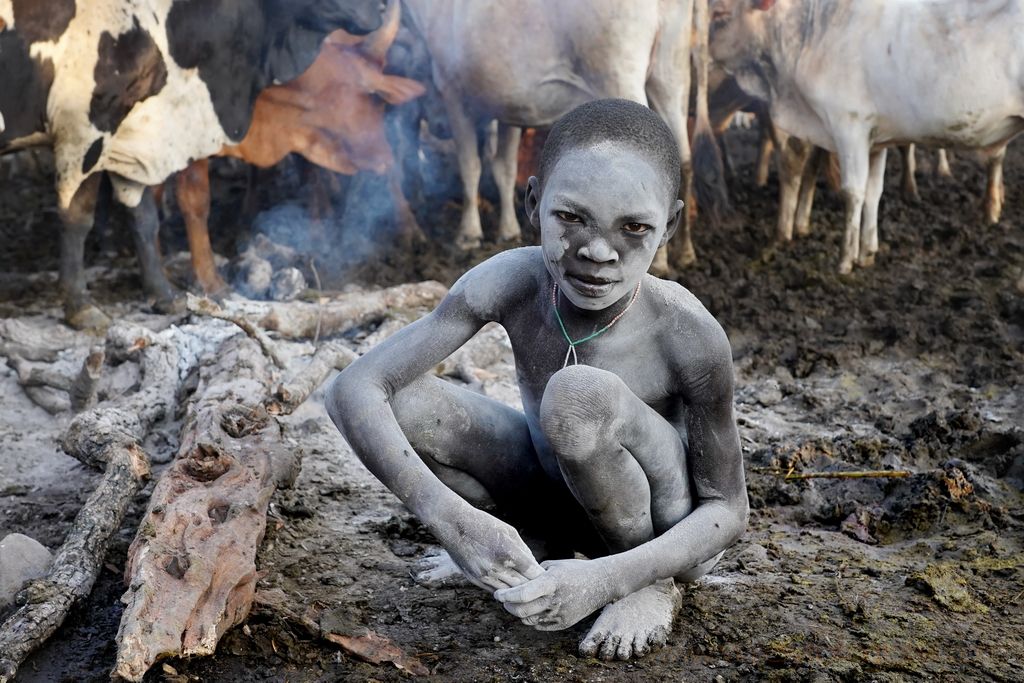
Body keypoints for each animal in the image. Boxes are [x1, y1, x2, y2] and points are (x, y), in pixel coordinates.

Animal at [0, 0, 385, 327]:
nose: (382, 8)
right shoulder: (83, 131)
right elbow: (77, 218)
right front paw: (80, 306)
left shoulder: (136, 140)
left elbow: (144, 217)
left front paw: (163, 295)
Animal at [399, 0, 720, 272]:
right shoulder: (510, 106)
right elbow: (504, 167)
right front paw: (508, 231)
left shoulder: (454, 91)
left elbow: (470, 166)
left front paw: (468, 235)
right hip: (672, 75)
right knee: (684, 158)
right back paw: (684, 254)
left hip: (619, 75)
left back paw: (657, 263)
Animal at [708, 0, 1024, 274]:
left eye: (720, 13)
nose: (700, 53)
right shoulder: (876, 140)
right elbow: (874, 192)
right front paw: (867, 252)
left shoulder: (849, 126)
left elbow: (854, 192)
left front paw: (845, 260)